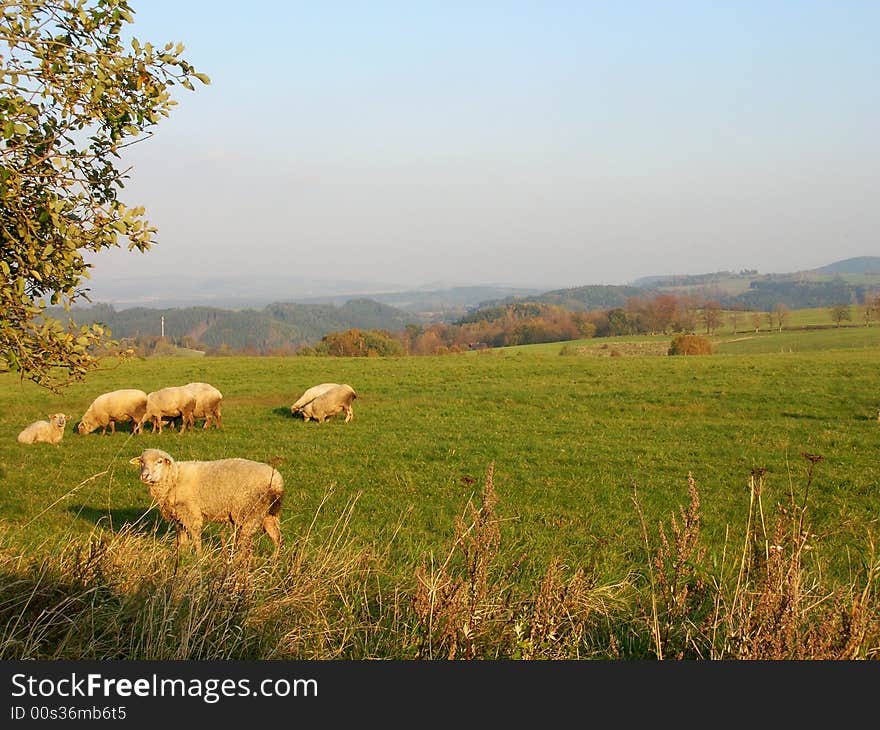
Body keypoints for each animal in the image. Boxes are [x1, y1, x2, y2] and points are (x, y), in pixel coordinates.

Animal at [128, 444, 282, 556]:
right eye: (142, 462)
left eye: (159, 461)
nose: (145, 476)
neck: (174, 478)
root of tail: (277, 481)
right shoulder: (179, 515)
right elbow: (181, 537)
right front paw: (182, 554)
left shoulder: (190, 512)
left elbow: (195, 536)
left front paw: (199, 556)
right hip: (268, 513)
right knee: (276, 537)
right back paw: (274, 560)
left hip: (248, 510)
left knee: (246, 541)